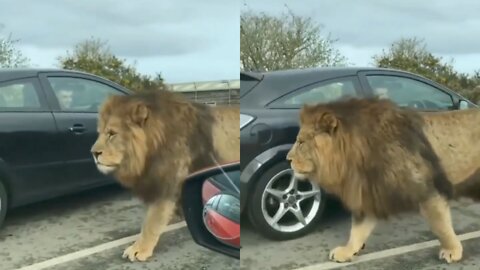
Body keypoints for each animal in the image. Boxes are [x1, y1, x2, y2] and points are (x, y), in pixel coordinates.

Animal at [89, 90, 239, 262]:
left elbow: (150, 223)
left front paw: (138, 249)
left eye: (112, 134)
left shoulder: (167, 185)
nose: (93, 153)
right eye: (100, 133)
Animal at [284, 97, 480, 264]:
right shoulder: (370, 192)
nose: (288, 159)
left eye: (300, 142)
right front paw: (348, 251)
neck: (358, 154)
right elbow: (358, 230)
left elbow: (441, 226)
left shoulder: (426, 191)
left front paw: (452, 251)